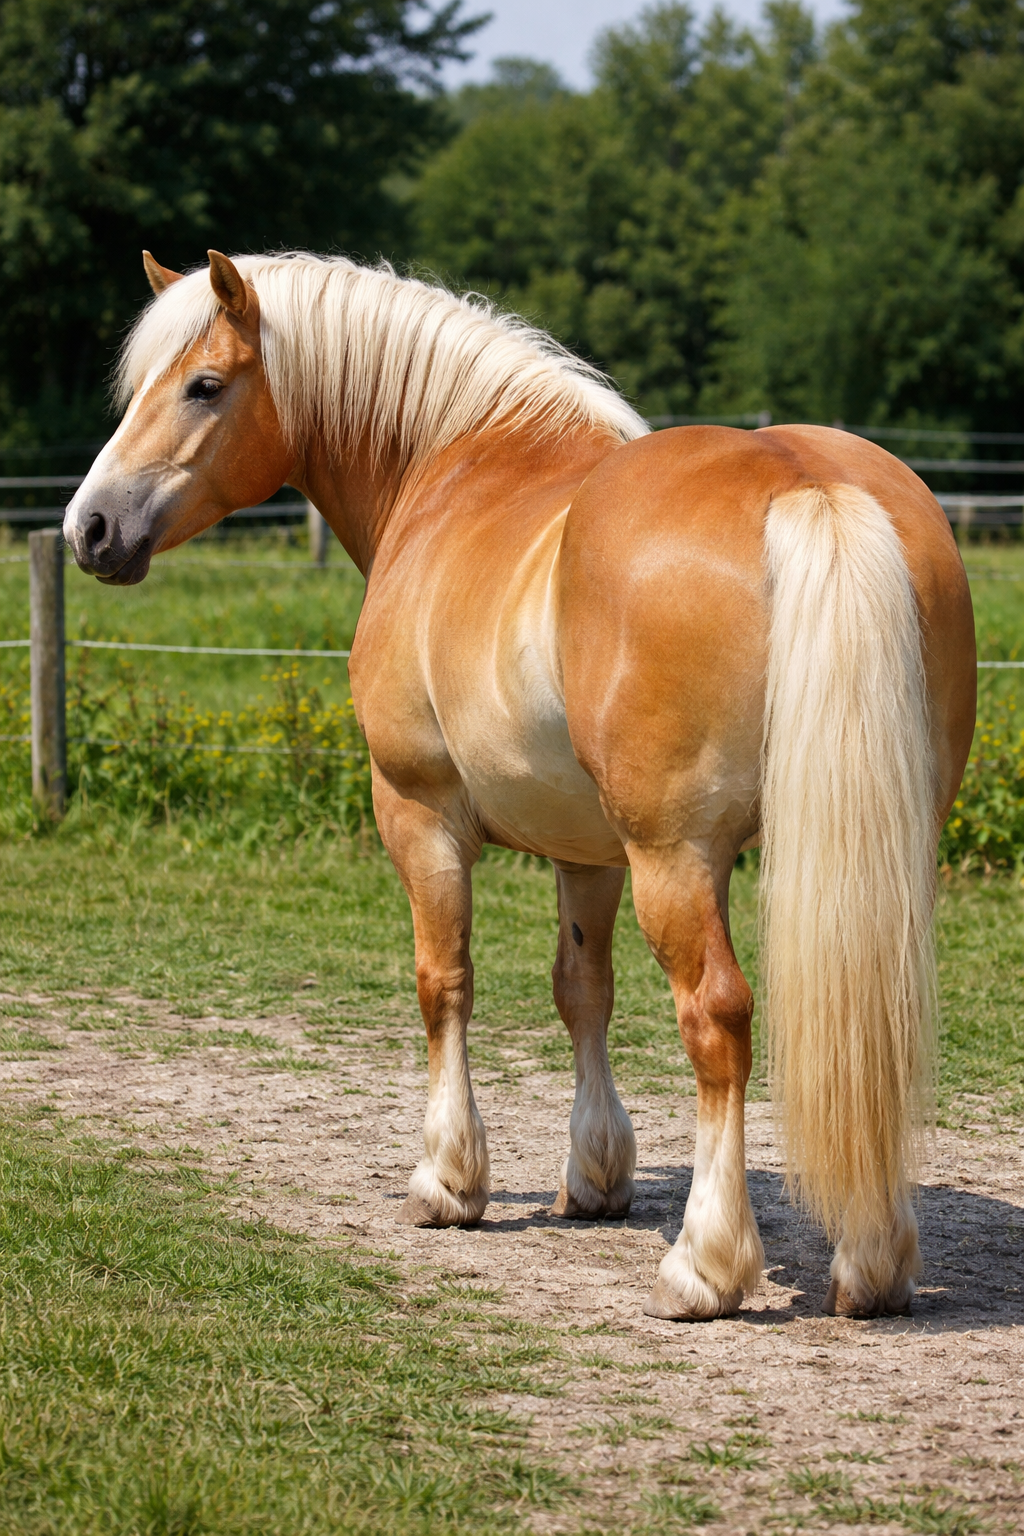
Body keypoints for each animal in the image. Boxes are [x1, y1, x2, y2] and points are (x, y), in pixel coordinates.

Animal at [63, 249, 975, 1321]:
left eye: (203, 386)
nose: (90, 527)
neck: (453, 462)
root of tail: (809, 485)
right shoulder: (589, 854)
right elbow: (583, 992)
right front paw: (597, 1175)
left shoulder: (417, 815)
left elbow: (443, 982)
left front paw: (449, 1181)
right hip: (867, 854)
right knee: (875, 1020)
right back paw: (873, 1261)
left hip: (678, 859)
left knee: (716, 1019)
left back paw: (705, 1265)